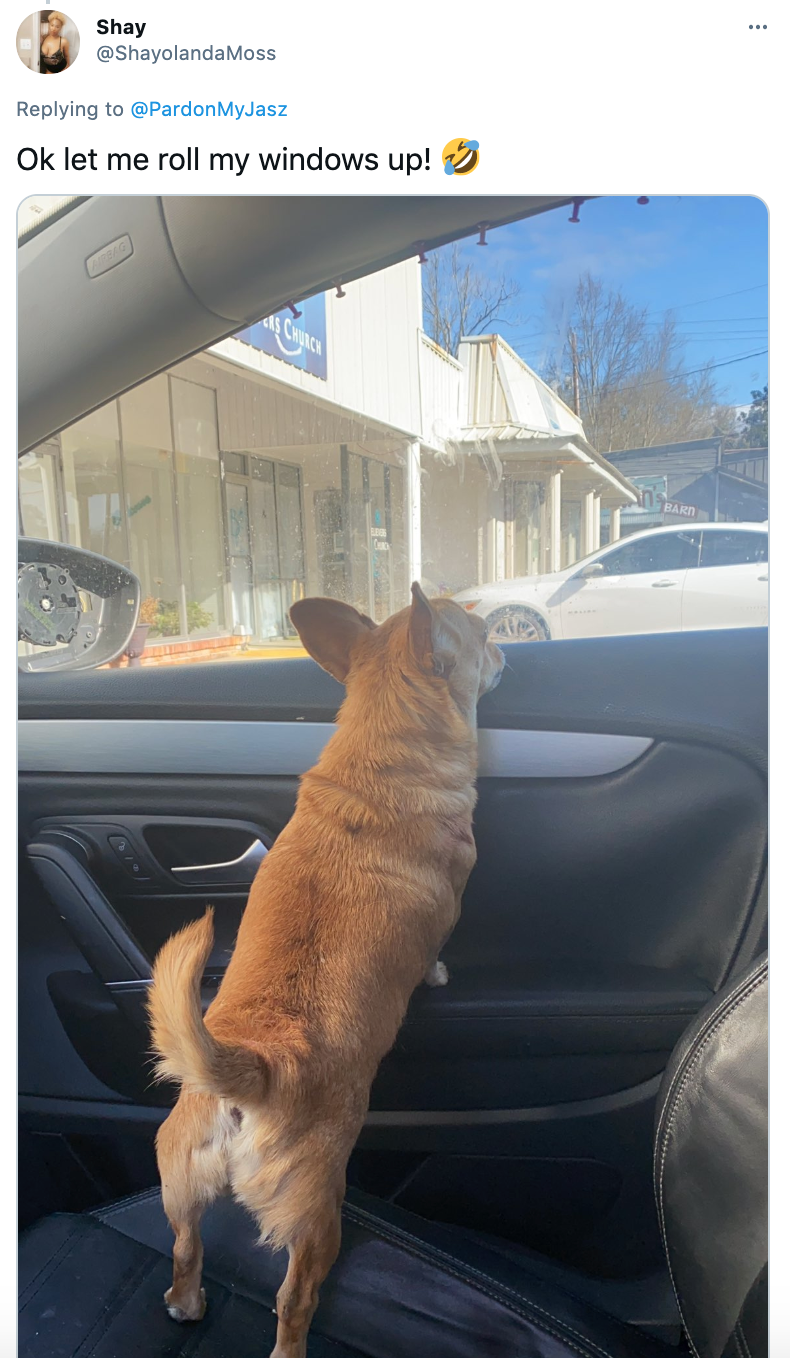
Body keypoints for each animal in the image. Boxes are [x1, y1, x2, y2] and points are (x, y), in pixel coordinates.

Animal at [149, 583, 507, 1358]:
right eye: (486, 635)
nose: (507, 649)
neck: (384, 753)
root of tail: (255, 1064)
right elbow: (435, 950)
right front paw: (436, 975)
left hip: (178, 1174)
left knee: (186, 1247)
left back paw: (186, 1303)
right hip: (321, 1210)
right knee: (294, 1298)